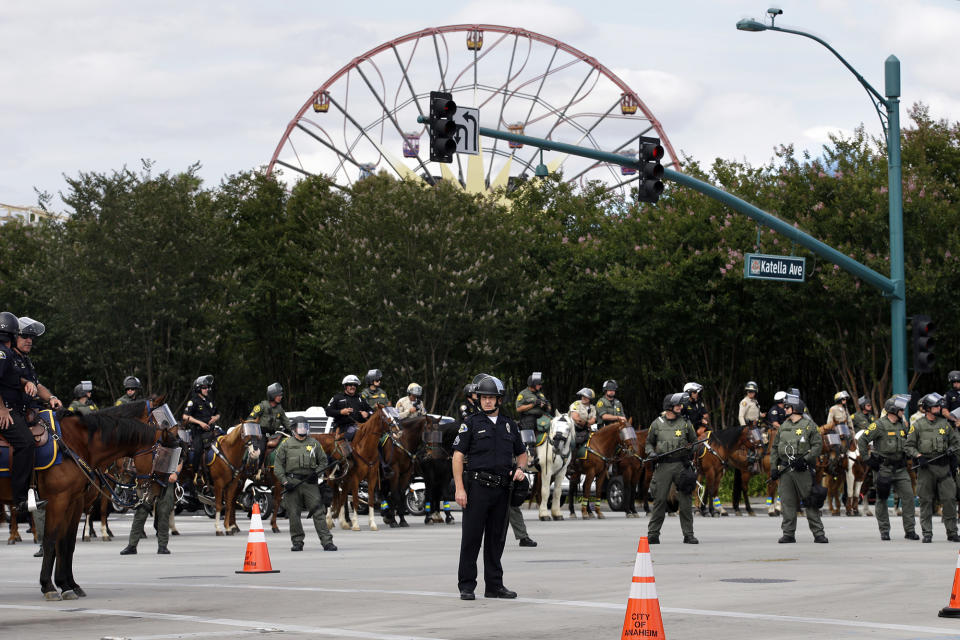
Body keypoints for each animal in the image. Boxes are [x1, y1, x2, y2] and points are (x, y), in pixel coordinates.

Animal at [0, 402, 172, 604]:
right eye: (163, 457)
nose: (159, 492)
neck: (76, 443)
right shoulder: (58, 500)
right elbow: (50, 540)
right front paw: (49, 586)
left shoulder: (74, 501)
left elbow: (66, 543)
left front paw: (68, 585)